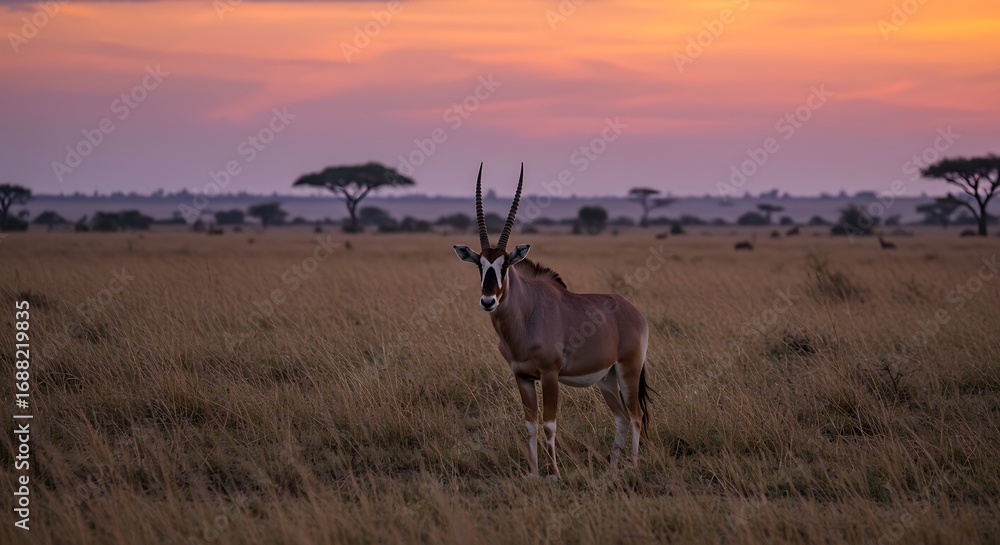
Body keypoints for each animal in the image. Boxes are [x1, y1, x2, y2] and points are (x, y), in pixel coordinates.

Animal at [453, 164, 651, 478]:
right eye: (480, 264)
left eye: (505, 265)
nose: (488, 301)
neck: (526, 314)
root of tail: (634, 313)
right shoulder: (522, 376)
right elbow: (531, 424)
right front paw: (533, 473)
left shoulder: (549, 374)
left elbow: (549, 424)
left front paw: (554, 473)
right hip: (606, 379)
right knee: (621, 417)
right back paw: (611, 468)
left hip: (628, 370)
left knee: (635, 415)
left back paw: (631, 466)